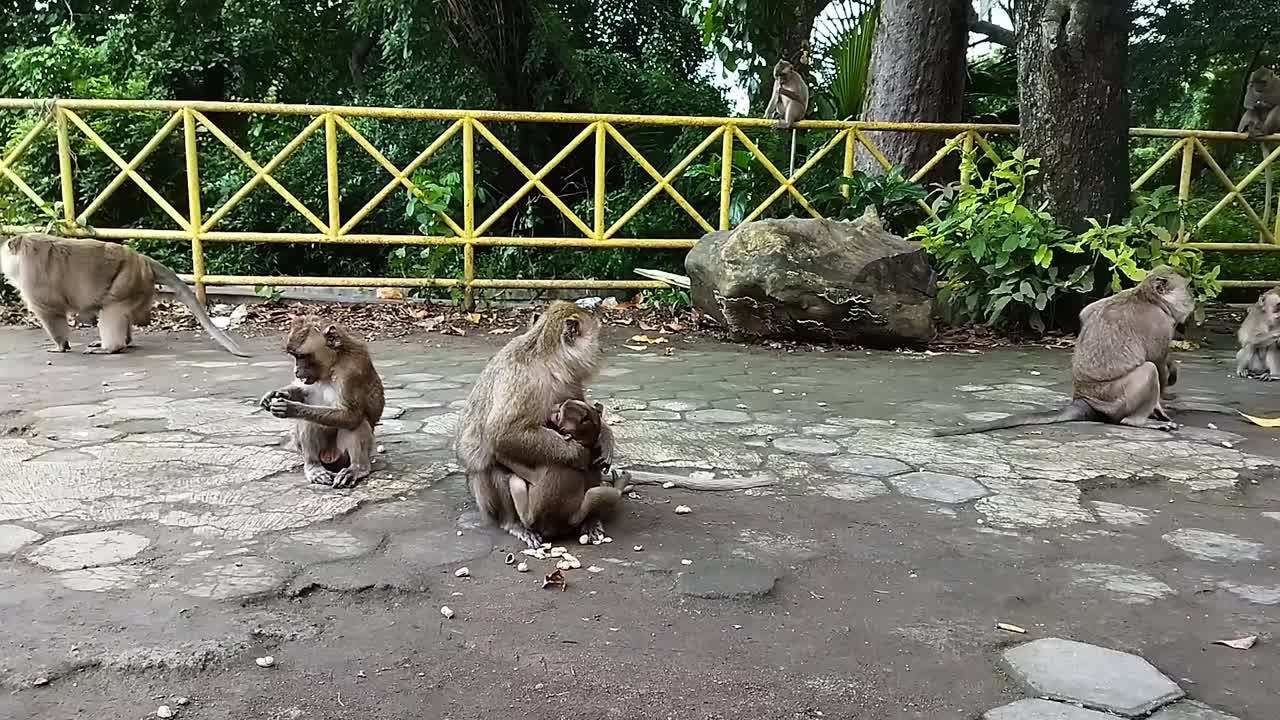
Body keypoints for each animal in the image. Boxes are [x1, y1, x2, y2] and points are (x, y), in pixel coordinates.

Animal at [0, 233, 248, 357]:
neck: (23, 248)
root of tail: (143, 259)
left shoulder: (31, 275)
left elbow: (50, 311)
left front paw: (60, 346)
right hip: (136, 286)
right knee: (120, 314)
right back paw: (122, 342)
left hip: (126, 281)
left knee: (112, 312)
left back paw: (110, 348)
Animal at [259, 315, 385, 489]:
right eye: (295, 356)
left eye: (301, 356)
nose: (296, 371)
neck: (333, 364)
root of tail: (330, 457)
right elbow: (303, 391)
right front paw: (275, 394)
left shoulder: (351, 373)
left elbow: (351, 415)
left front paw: (292, 408)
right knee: (308, 422)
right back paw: (314, 467)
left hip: (343, 455)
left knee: (356, 422)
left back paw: (357, 469)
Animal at [505, 399, 622, 541]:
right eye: (560, 405)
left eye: (558, 416)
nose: (552, 407)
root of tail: (551, 528)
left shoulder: (547, 462)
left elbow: (522, 469)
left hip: (531, 517)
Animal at [933, 266, 1195, 436]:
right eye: (1189, 288)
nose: (1194, 298)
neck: (1148, 297)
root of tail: (1084, 400)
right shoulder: (1160, 324)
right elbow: (1157, 362)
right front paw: (1160, 406)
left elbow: (1087, 312)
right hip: (1115, 398)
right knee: (1148, 370)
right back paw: (1137, 421)